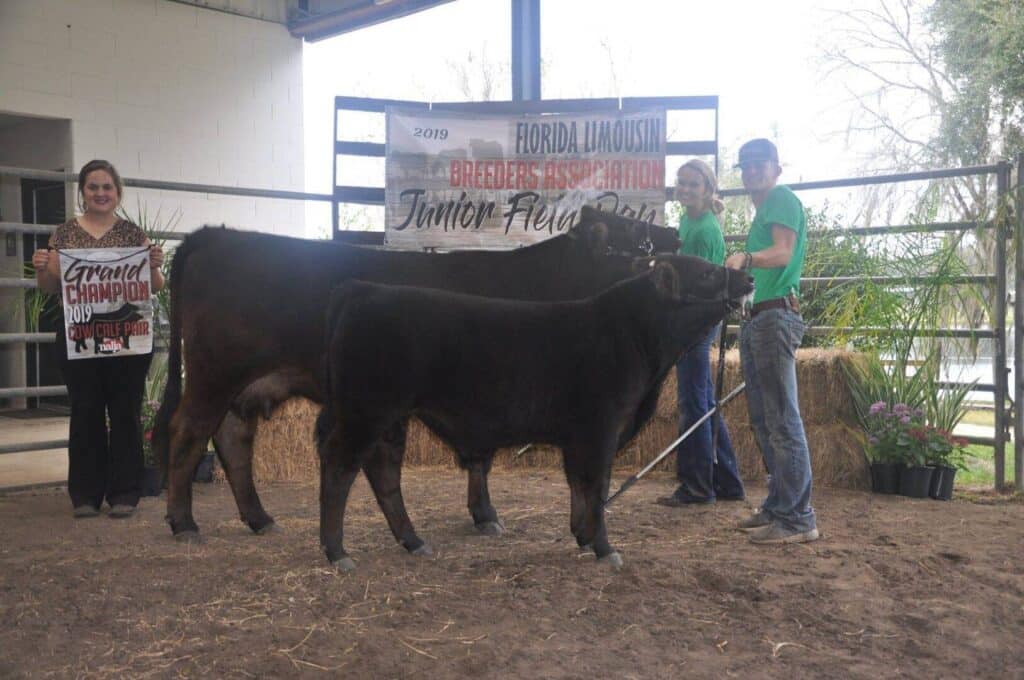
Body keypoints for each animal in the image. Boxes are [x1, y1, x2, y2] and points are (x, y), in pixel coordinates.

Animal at [155, 207, 681, 540]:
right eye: (631, 229)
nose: (675, 235)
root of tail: (218, 235)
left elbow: (479, 457)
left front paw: (483, 515)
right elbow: (481, 457)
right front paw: (485, 515)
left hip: (246, 384)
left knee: (231, 438)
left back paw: (259, 518)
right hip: (214, 371)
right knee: (188, 433)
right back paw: (183, 523)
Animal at [316, 255, 753, 571]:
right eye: (707, 272)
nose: (748, 278)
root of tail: (361, 289)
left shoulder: (581, 437)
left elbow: (579, 486)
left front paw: (582, 535)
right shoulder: (600, 428)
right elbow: (596, 486)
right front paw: (604, 547)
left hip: (390, 419)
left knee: (384, 473)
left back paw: (413, 542)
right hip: (367, 411)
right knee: (340, 467)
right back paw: (337, 552)